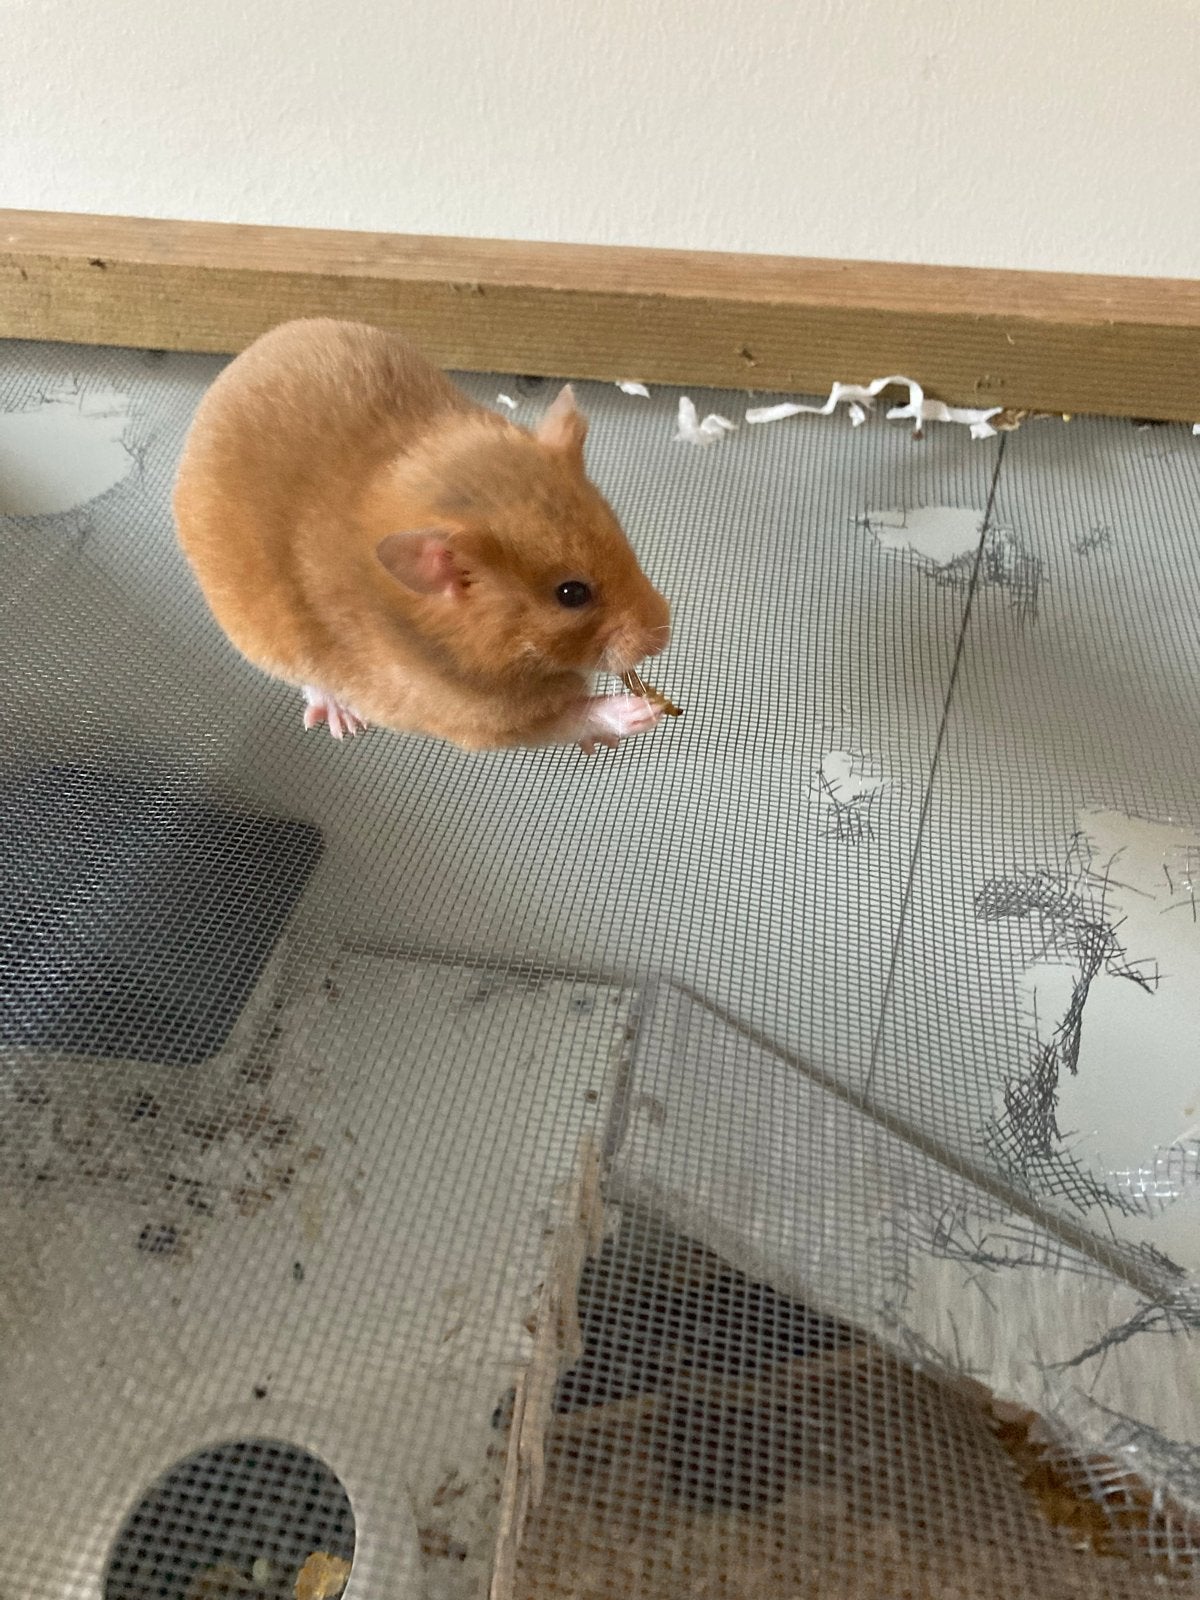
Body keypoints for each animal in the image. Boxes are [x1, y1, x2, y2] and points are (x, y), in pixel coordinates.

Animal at [172, 318, 672, 754]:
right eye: (571, 594)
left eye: (621, 536)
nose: (665, 634)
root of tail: (239, 362)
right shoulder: (474, 721)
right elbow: (568, 719)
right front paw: (637, 712)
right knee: (311, 683)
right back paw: (341, 721)